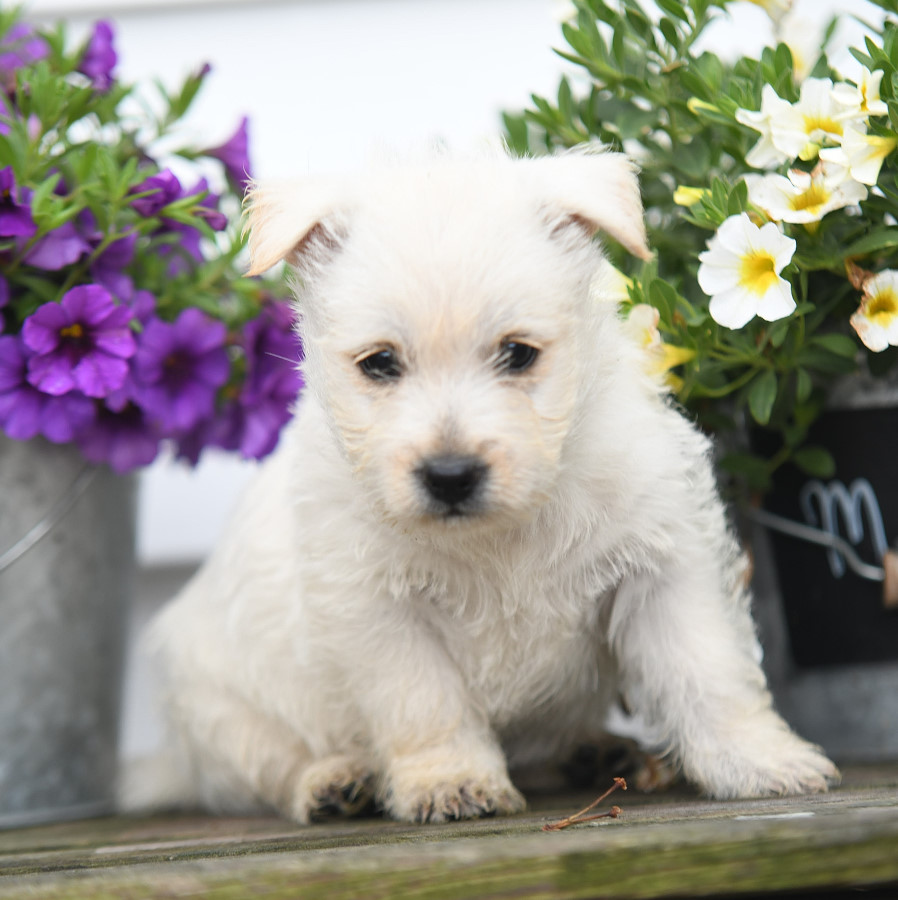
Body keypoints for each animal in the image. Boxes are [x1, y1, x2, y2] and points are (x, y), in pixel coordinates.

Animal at [144, 148, 836, 824]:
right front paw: (451, 781)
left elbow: (710, 670)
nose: (450, 475)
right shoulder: (377, 609)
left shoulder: (665, 565)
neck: (502, 531)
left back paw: (599, 751)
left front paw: (761, 761)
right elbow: (425, 702)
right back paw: (334, 782)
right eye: (380, 363)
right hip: (221, 709)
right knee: (264, 768)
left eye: (519, 353)